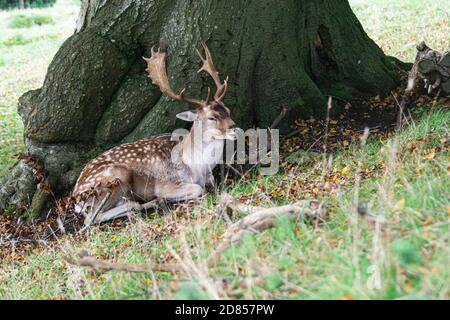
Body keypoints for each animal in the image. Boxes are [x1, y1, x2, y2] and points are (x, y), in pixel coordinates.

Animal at [72, 42, 237, 222]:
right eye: (212, 117)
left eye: (228, 110)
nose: (234, 128)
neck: (195, 167)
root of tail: (75, 196)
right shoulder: (166, 184)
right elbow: (197, 189)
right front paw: (165, 198)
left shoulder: (208, 176)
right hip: (115, 177)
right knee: (93, 218)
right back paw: (150, 202)